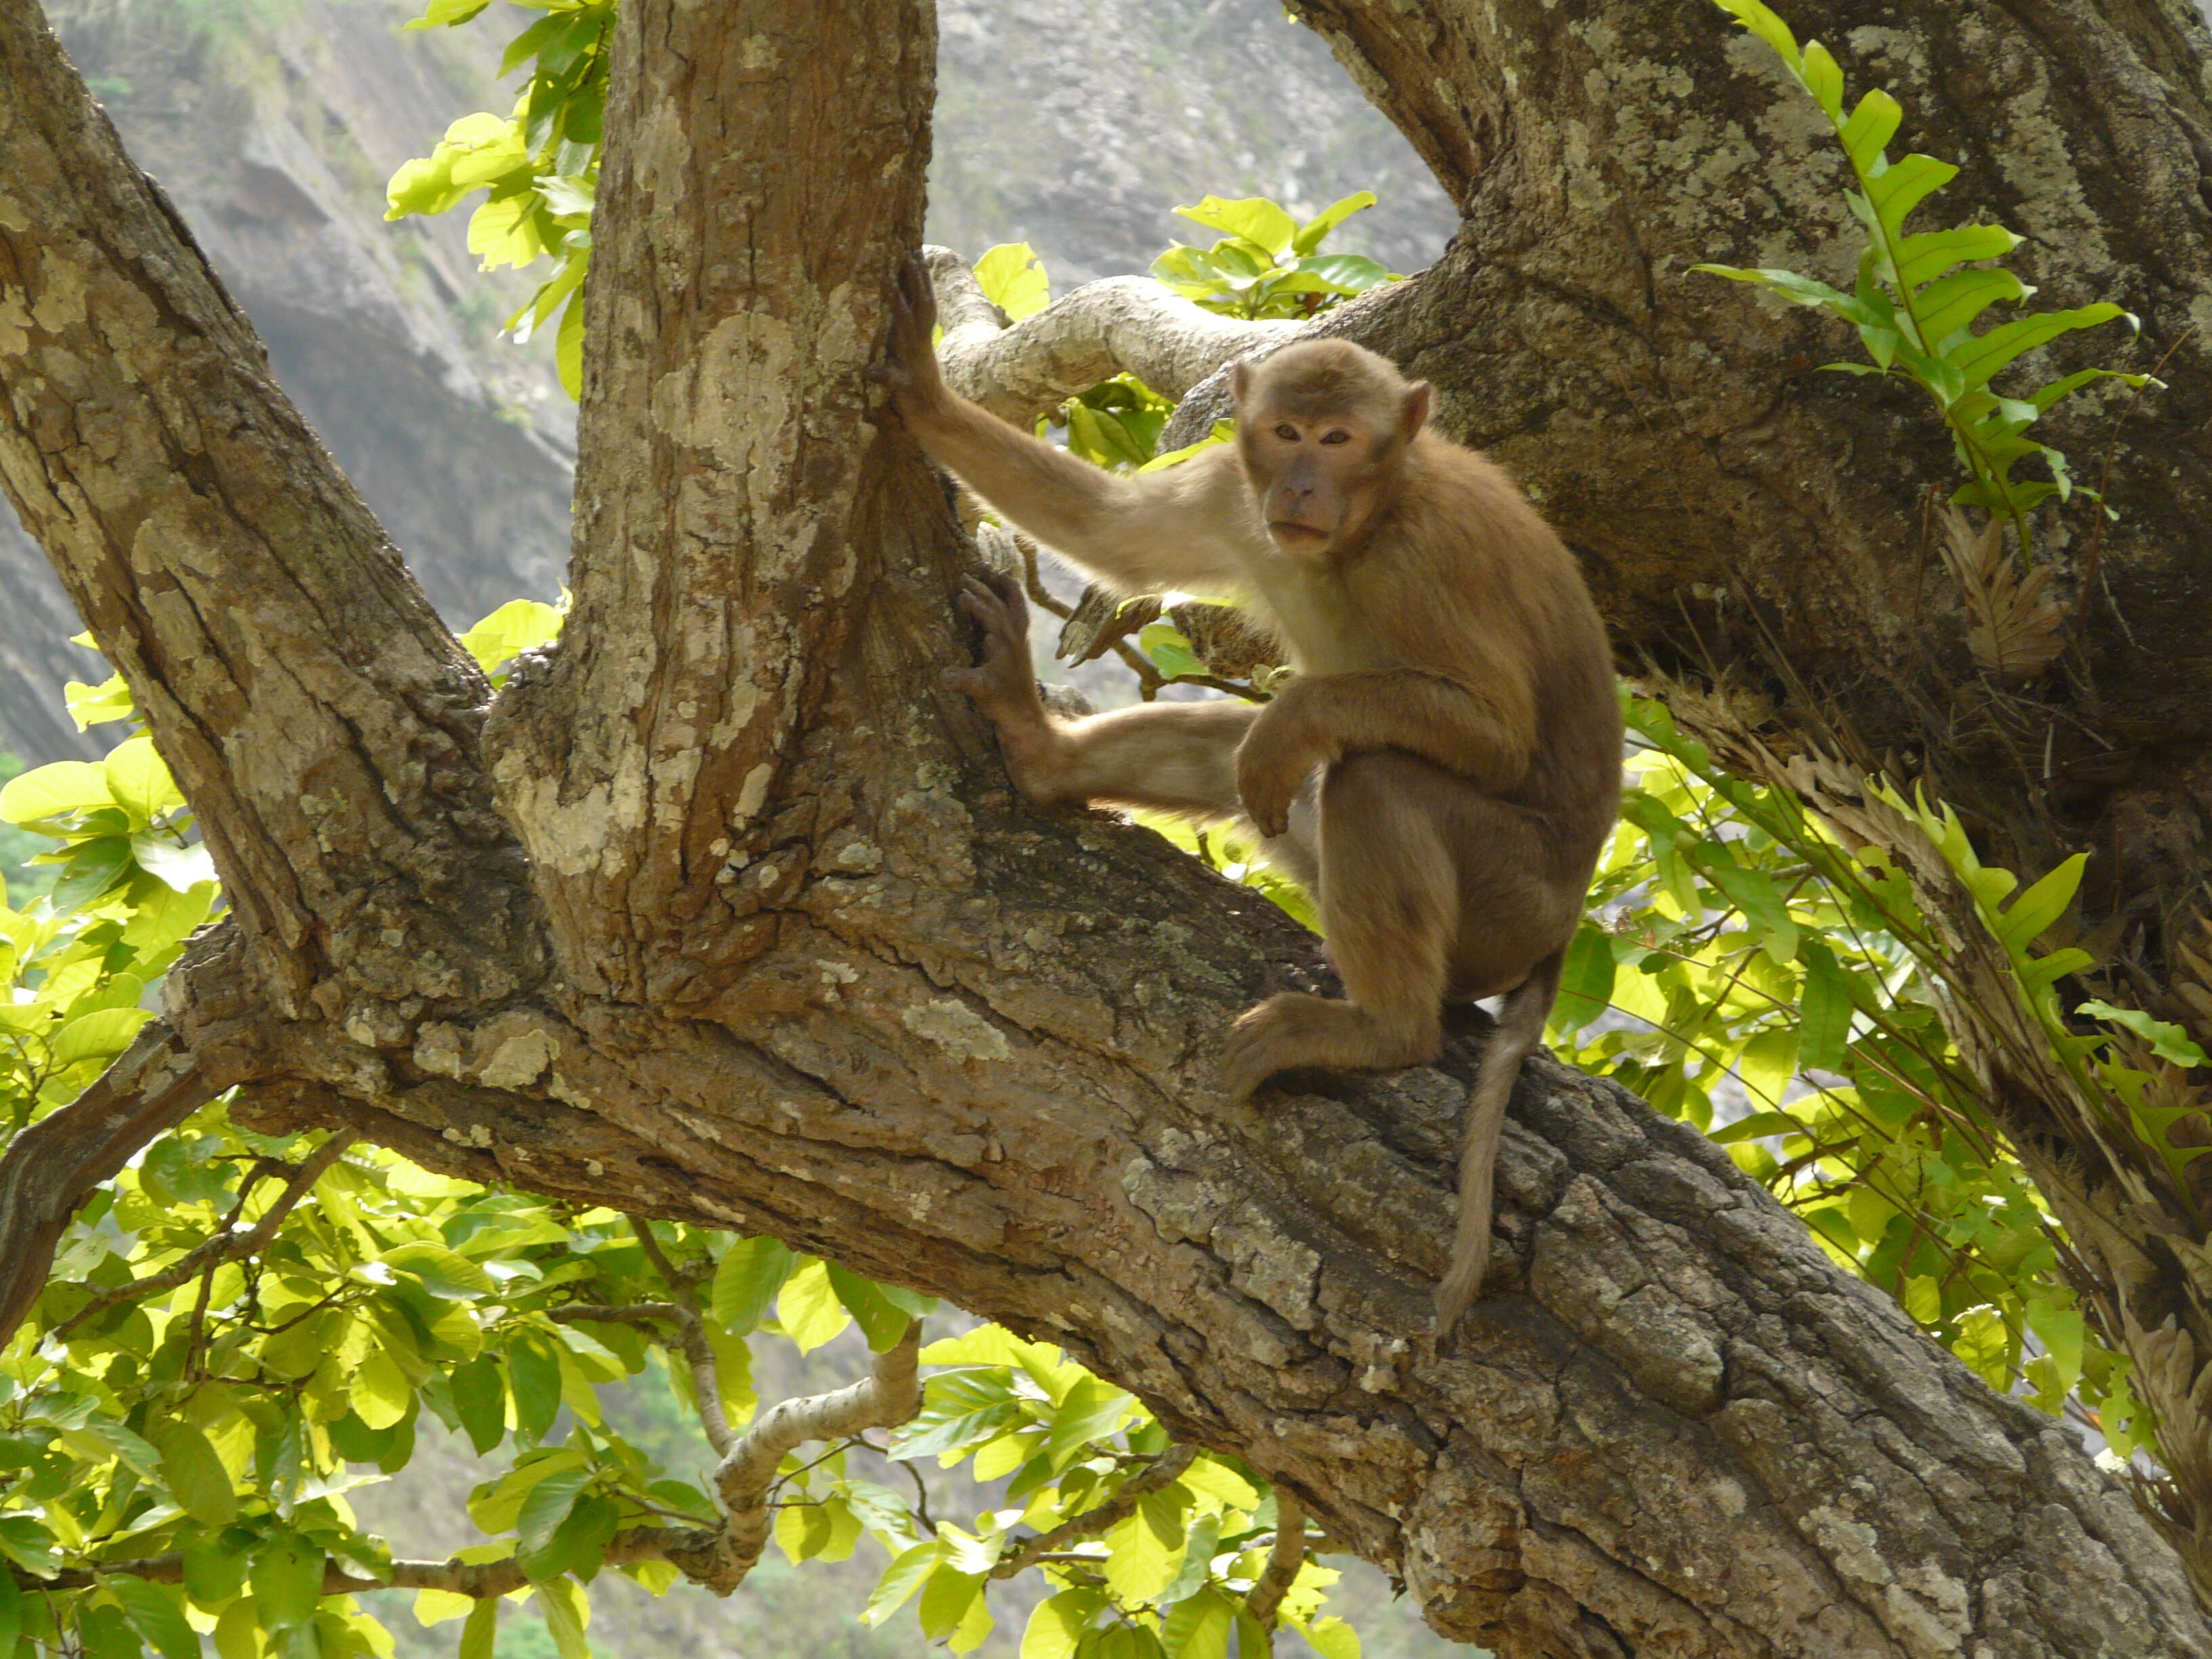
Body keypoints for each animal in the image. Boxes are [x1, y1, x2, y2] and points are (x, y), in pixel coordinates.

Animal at [880, 249, 1628, 1336]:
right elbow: (1112, 533)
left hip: (1509, 899)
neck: (1369, 523)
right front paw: (925, 392)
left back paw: (1381, 1027)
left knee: (1370, 778)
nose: (1304, 482)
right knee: (1247, 760)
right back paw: (1040, 751)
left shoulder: (1430, 559)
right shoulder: (1237, 495)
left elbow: (1495, 732)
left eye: (1339, 437)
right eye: (1285, 432)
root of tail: (1563, 927)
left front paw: (1300, 715)